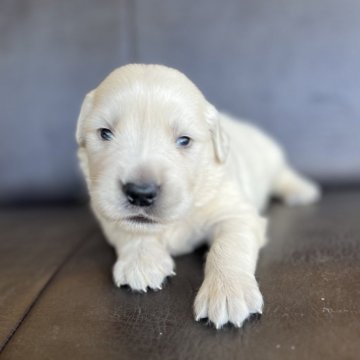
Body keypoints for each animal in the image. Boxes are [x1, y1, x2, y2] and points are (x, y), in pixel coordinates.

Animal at [76, 64, 320, 330]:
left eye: (184, 140)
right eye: (105, 133)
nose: (140, 193)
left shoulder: (235, 211)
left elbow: (228, 245)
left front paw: (227, 291)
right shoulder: (103, 208)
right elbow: (130, 228)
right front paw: (141, 262)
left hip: (270, 158)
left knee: (282, 174)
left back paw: (300, 190)